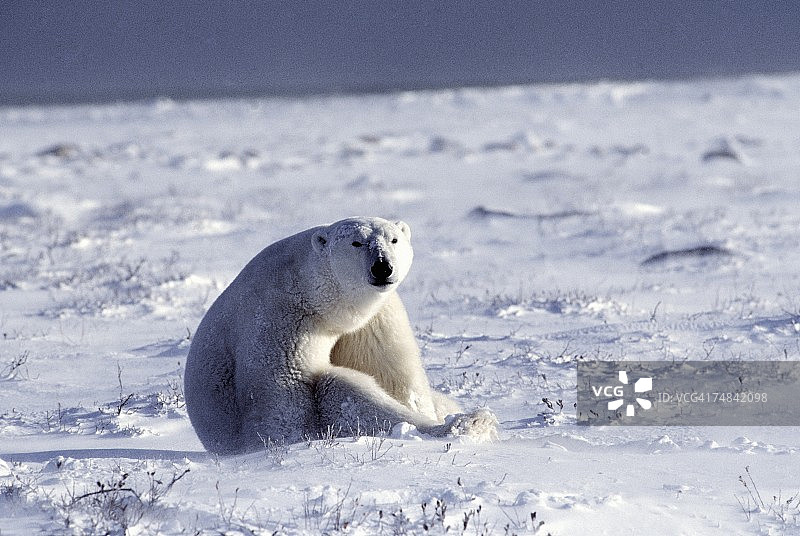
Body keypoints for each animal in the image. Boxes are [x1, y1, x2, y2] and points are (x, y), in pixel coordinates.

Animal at [184, 216, 497, 454]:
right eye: (356, 242)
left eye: (393, 240)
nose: (382, 266)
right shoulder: (278, 317)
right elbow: (282, 401)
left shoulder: (373, 319)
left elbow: (393, 372)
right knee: (335, 387)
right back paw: (469, 423)